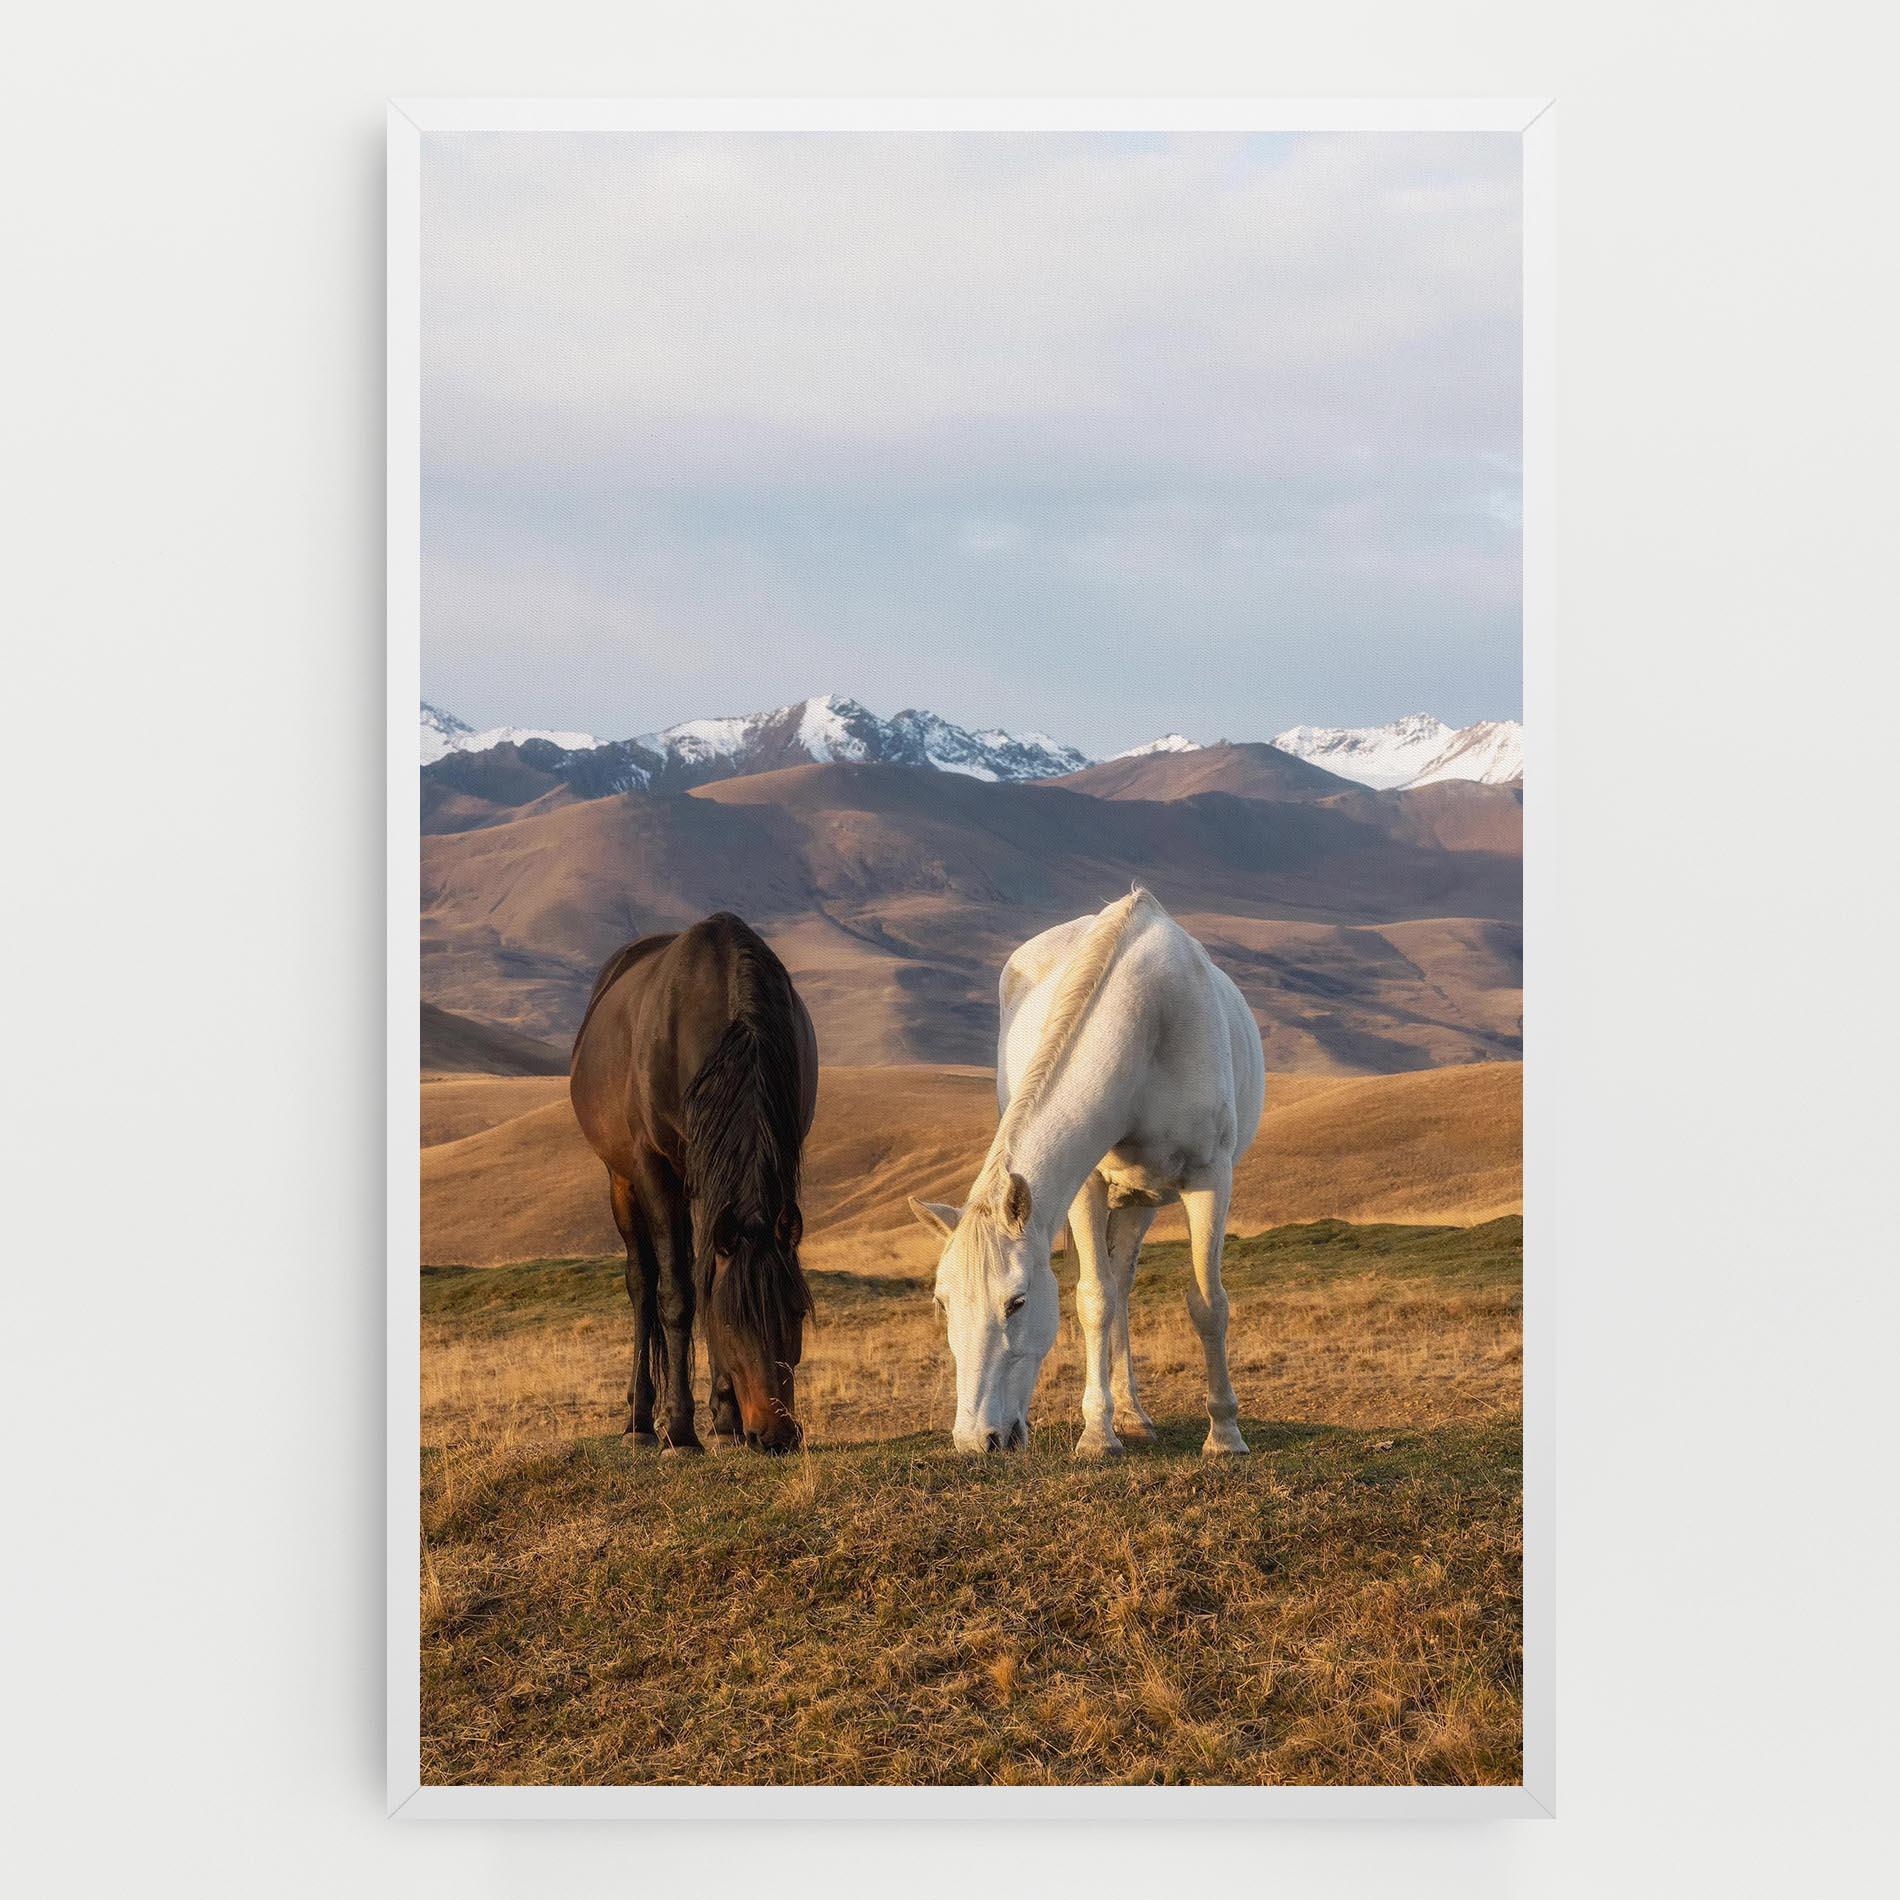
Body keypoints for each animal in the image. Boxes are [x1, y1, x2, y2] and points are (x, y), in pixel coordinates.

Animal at [570, 913, 818, 1454]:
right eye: (731, 1322)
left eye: (795, 1312)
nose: (776, 1435)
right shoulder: (654, 1168)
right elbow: (679, 1295)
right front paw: (681, 1430)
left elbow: (706, 1278)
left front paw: (725, 1421)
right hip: (622, 1181)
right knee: (643, 1285)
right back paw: (641, 1421)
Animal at [909, 886, 1265, 1458]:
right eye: (942, 1302)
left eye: (1017, 1303)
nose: (977, 1439)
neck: (1147, 1023)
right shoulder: (1086, 1188)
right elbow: (1093, 1299)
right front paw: (1098, 1434)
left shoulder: (1210, 1181)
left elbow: (1209, 1304)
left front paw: (1225, 1435)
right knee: (1110, 1289)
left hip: (1144, 1200)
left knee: (1126, 1283)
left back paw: (1139, 1416)